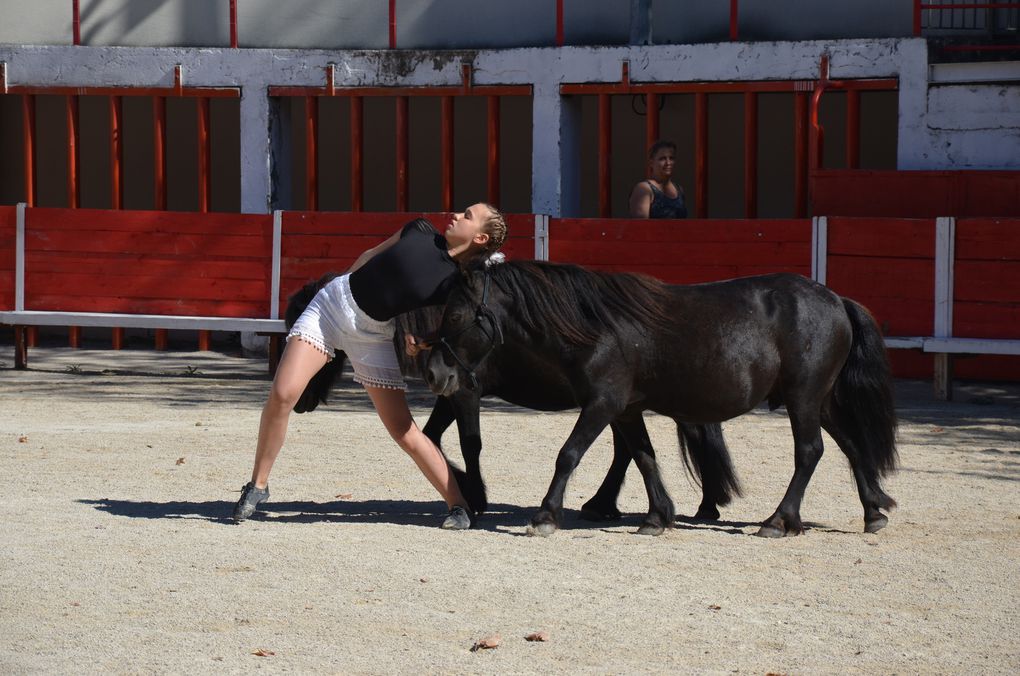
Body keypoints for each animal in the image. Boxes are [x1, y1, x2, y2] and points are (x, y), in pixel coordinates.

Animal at [287, 273, 742, 526]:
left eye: (309, 328)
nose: (299, 401)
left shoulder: (465, 392)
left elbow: (469, 444)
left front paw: (475, 495)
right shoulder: (450, 391)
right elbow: (432, 438)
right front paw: (462, 486)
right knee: (629, 450)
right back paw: (618, 504)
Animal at [426, 261, 897, 538]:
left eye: (455, 314)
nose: (434, 372)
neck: (598, 328)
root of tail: (836, 299)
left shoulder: (602, 403)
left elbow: (569, 454)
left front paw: (545, 515)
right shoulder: (627, 409)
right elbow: (643, 457)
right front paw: (657, 517)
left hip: (804, 398)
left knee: (809, 452)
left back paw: (779, 521)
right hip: (820, 401)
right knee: (851, 445)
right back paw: (873, 511)